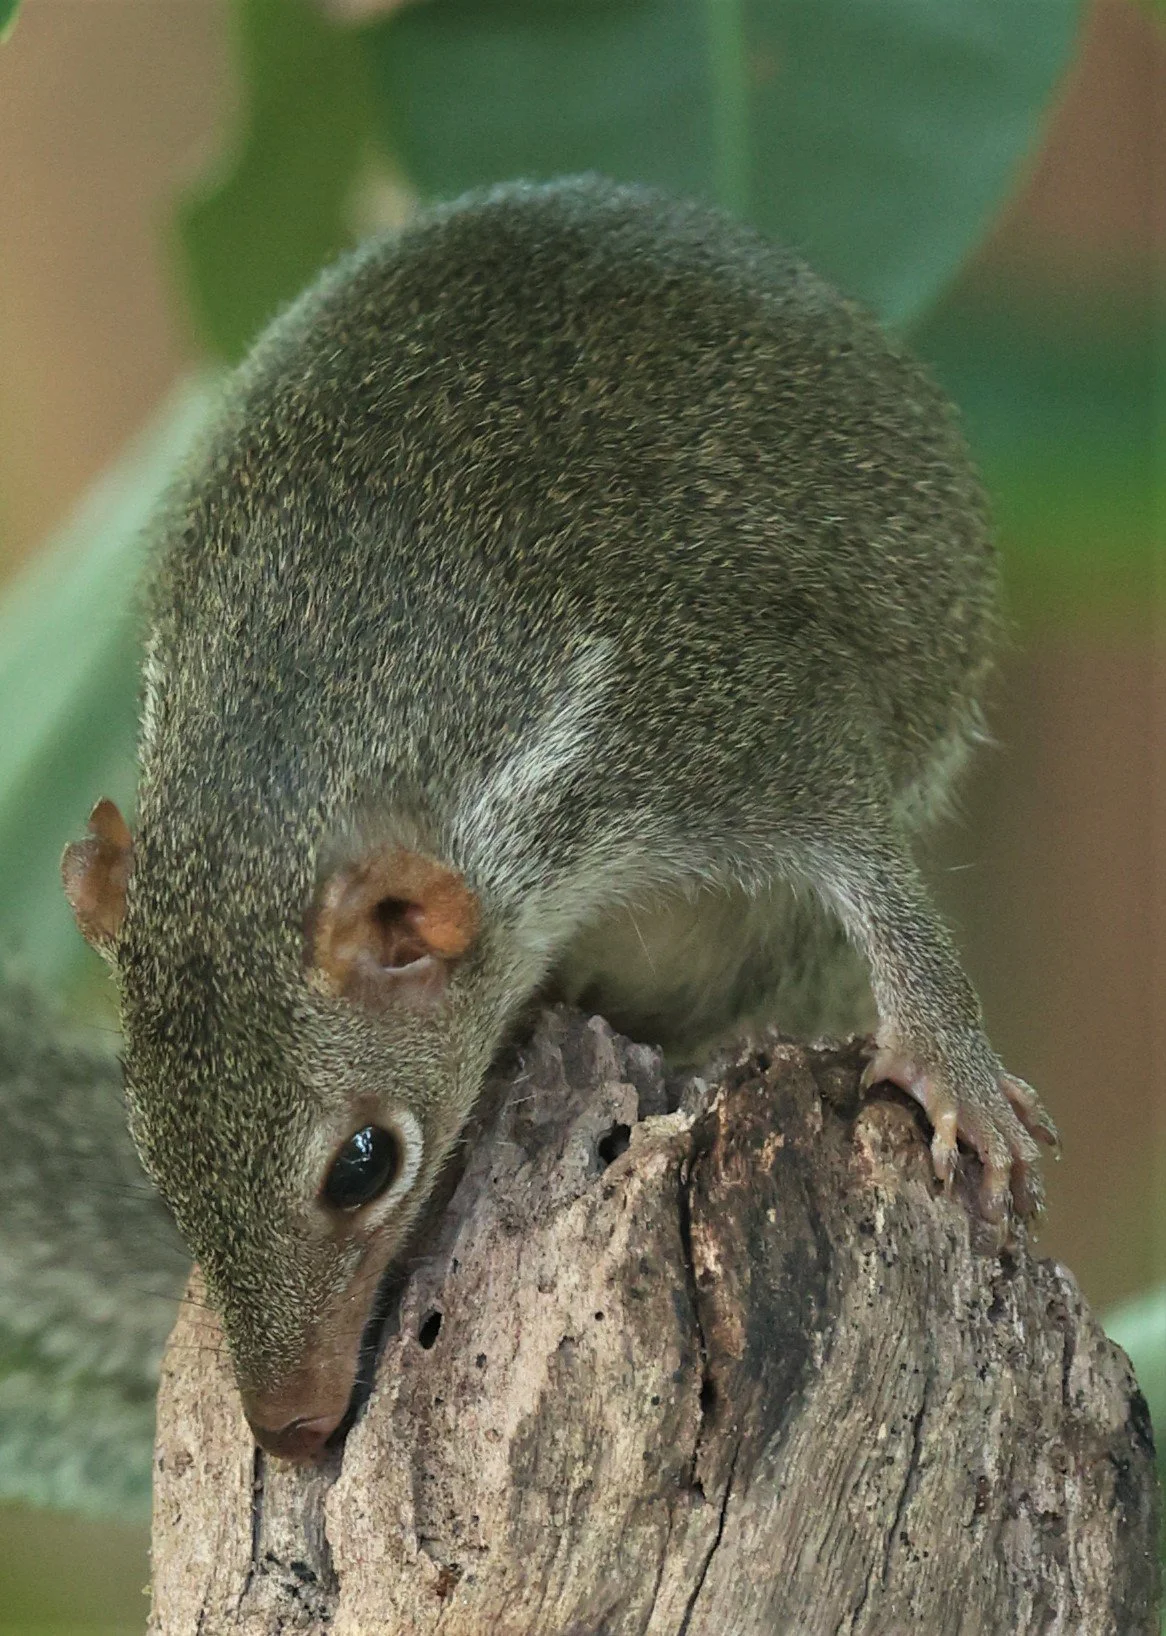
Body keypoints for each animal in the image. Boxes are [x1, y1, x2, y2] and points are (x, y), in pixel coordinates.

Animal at [59, 176, 1057, 1464]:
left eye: (362, 1166)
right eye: (155, 1159)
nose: (289, 1427)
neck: (301, 718)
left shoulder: (713, 718)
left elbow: (869, 863)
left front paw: (952, 1068)